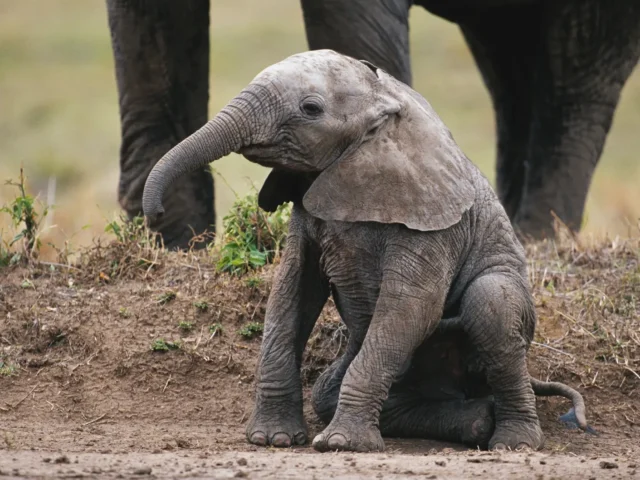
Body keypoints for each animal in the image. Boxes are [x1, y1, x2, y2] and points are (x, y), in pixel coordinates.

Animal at [107, 0, 640, 248]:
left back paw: (539, 240)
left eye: (312, 109)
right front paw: (173, 246)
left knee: (576, 69)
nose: (152, 210)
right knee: (511, 69)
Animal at [141, 50, 592, 452]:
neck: (384, 103)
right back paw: (477, 422)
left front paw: (341, 445)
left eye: (310, 108)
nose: (154, 214)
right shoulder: (307, 211)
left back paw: (514, 442)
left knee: (490, 302)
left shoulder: (432, 222)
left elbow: (412, 306)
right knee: (328, 391)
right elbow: (291, 294)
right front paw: (273, 440)